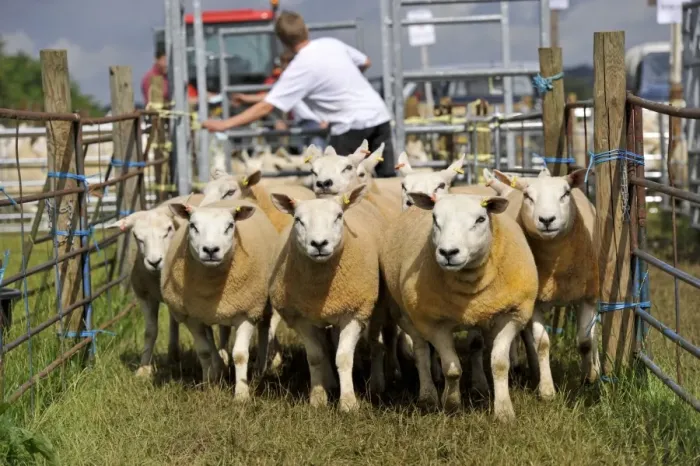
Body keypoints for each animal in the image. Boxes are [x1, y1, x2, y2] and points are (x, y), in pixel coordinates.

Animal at [105, 193, 204, 378]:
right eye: (137, 236)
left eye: (169, 230)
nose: (154, 261)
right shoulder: (144, 295)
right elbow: (150, 331)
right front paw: (144, 369)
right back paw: (173, 354)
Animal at [161, 199, 277, 401]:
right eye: (193, 226)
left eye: (230, 226)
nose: (210, 250)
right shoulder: (192, 316)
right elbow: (204, 351)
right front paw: (209, 385)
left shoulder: (247, 311)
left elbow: (240, 354)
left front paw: (241, 394)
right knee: (219, 334)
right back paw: (220, 365)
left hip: (261, 302)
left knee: (264, 326)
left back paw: (260, 368)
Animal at [268, 184, 385, 411]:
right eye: (298, 219)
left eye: (338, 216)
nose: (319, 244)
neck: (322, 289)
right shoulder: (302, 318)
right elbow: (315, 357)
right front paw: (318, 398)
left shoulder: (355, 313)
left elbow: (344, 357)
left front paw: (348, 402)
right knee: (326, 344)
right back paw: (330, 382)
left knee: (376, 344)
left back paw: (376, 383)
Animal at [380, 191, 539, 421]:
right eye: (435, 219)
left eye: (480, 219)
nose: (448, 252)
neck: (470, 279)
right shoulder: (434, 322)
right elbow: (452, 369)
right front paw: (452, 404)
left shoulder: (513, 314)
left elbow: (499, 363)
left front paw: (503, 411)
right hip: (407, 314)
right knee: (421, 351)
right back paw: (428, 396)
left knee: (475, 345)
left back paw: (479, 386)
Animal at [490, 167, 599, 399]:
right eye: (527, 196)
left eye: (565, 193)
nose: (547, 220)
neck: (557, 267)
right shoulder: (536, 301)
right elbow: (542, 344)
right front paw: (547, 389)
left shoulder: (587, 296)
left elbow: (585, 342)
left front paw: (589, 377)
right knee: (527, 338)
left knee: (594, 333)